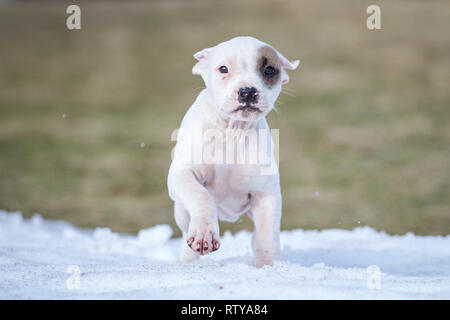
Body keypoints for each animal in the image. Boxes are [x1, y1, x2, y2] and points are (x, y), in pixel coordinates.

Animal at [166, 36, 298, 268]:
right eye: (223, 69)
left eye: (269, 70)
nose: (247, 91)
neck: (232, 131)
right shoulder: (182, 174)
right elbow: (201, 196)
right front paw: (204, 233)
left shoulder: (265, 193)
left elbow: (267, 234)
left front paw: (268, 266)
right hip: (180, 211)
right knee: (185, 231)